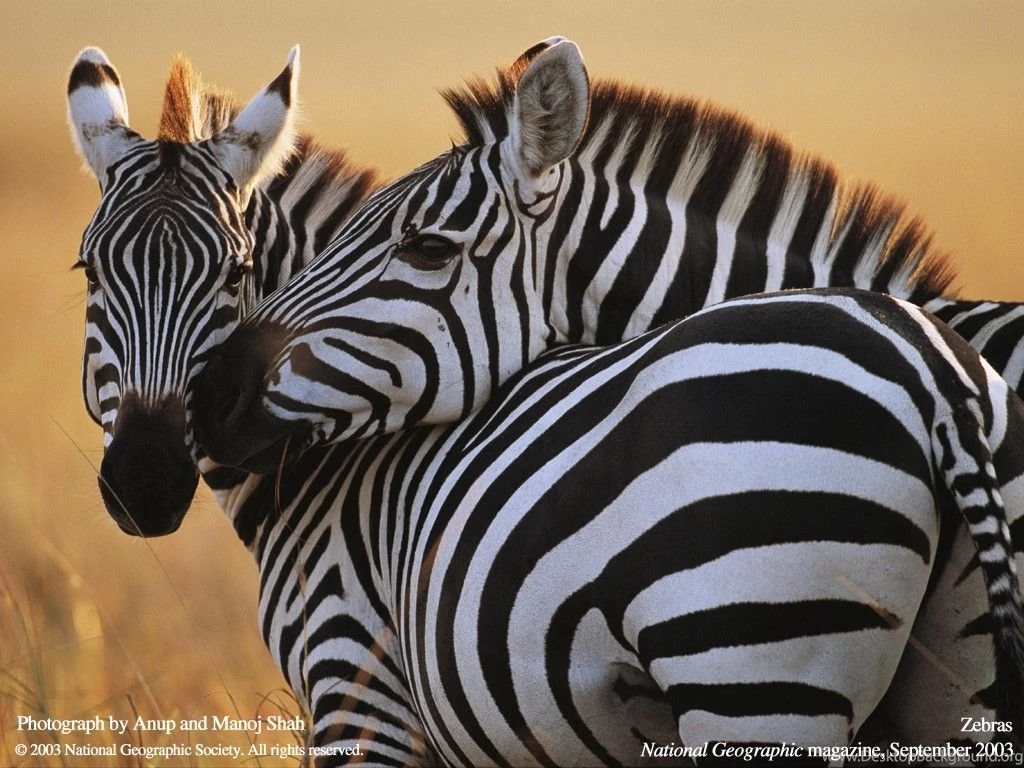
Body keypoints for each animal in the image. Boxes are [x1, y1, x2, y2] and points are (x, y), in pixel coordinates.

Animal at [71, 42, 1021, 762]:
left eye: (236, 272)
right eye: (88, 274)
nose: (149, 477)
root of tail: (929, 367)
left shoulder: (354, 678)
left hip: (752, 670)